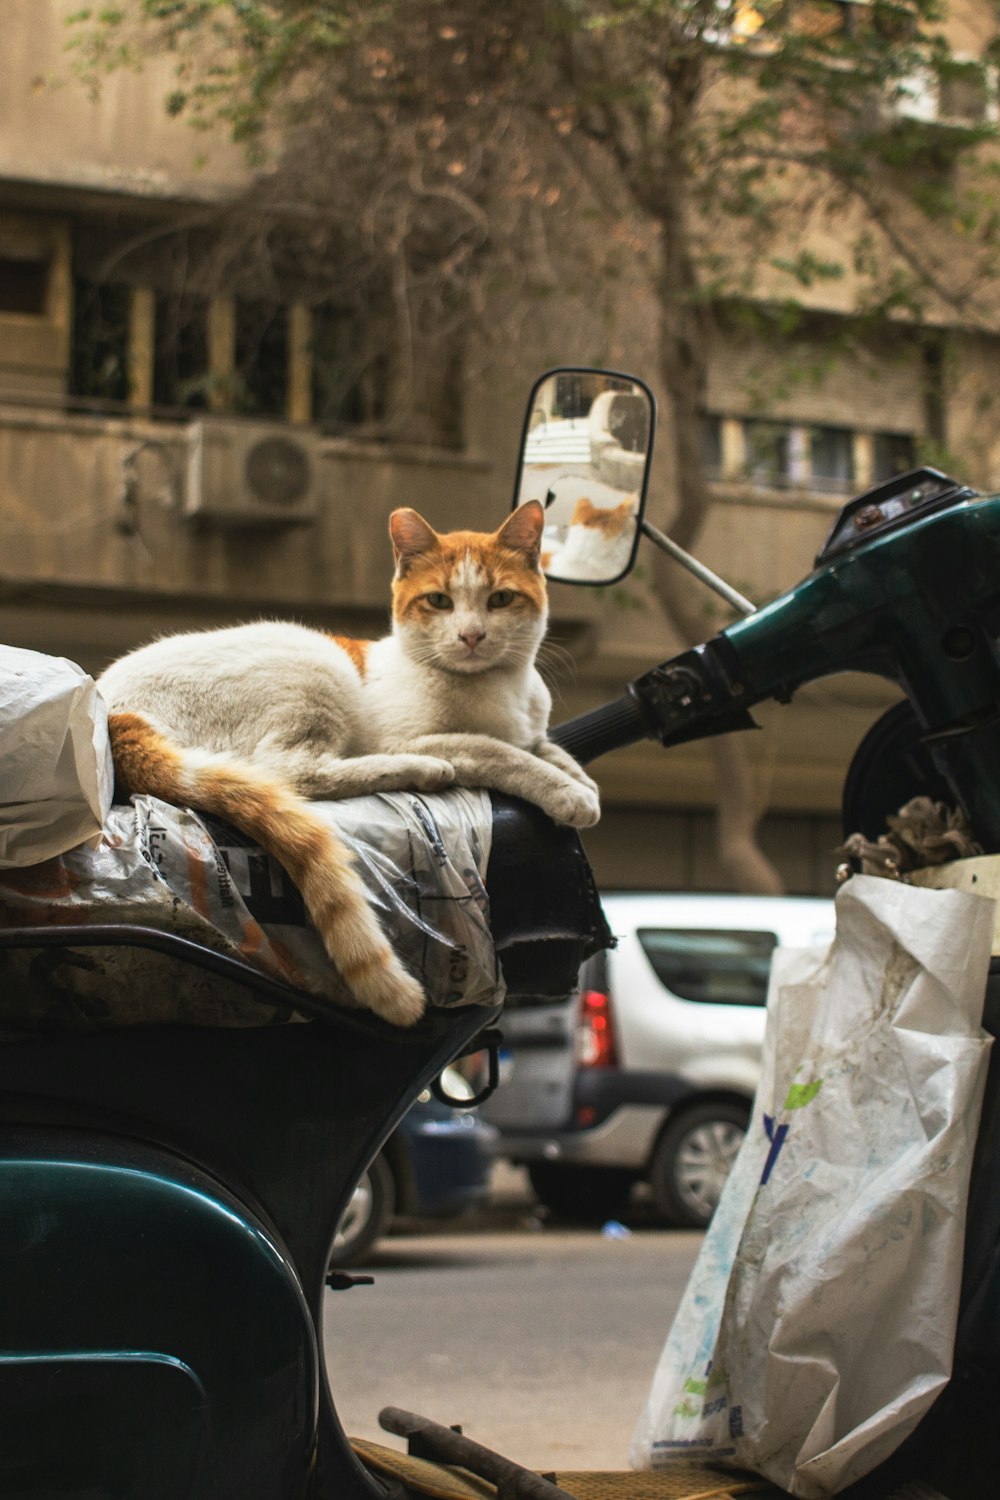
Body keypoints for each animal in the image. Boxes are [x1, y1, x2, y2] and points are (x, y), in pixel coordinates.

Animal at [99, 504, 602, 1032]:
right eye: (439, 601)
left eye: (500, 599)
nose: (471, 636)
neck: (500, 689)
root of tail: (112, 712)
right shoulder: (420, 736)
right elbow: (503, 753)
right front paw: (568, 794)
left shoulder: (534, 730)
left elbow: (547, 747)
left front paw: (580, 781)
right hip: (316, 665)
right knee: (291, 773)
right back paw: (425, 769)